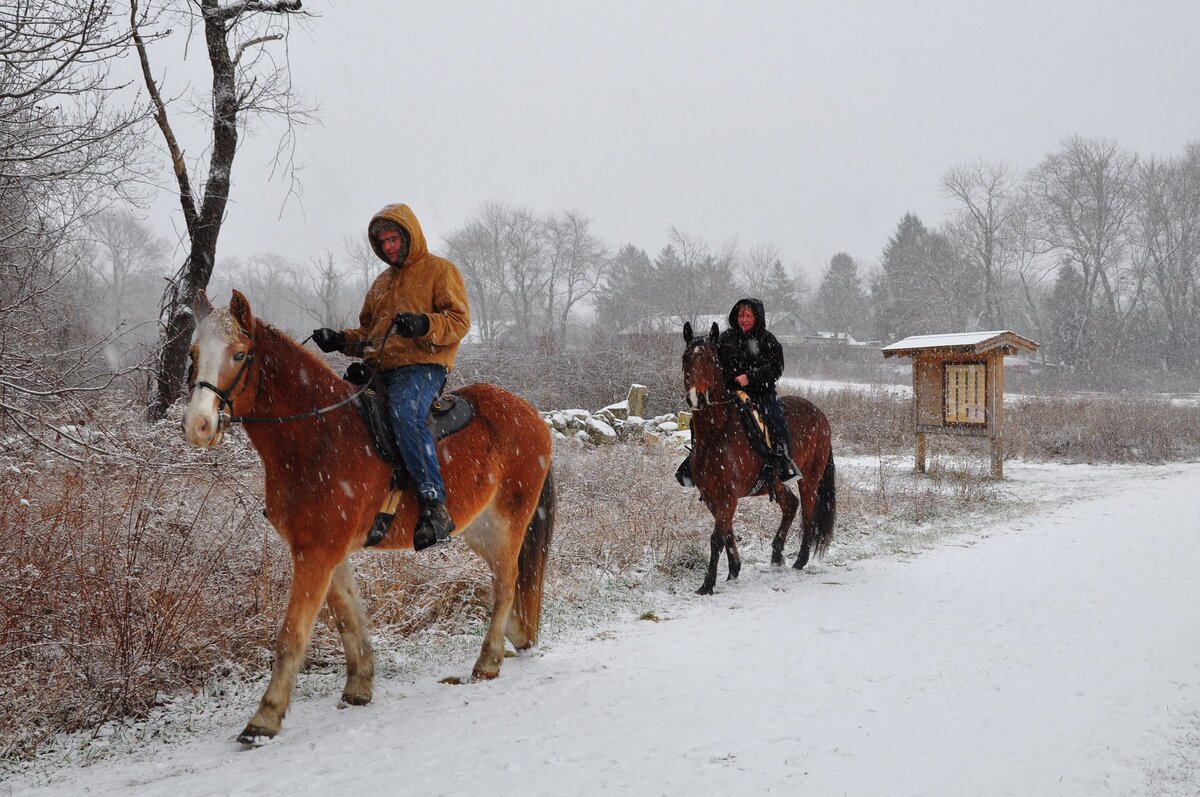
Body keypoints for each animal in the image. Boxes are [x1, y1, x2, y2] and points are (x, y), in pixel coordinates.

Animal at [182, 292, 556, 748]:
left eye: (239, 354)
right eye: (194, 354)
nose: (198, 425)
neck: (317, 434)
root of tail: (530, 413)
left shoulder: (316, 553)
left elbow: (291, 636)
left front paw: (265, 717)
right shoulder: (326, 551)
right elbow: (348, 617)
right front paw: (359, 685)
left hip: (509, 519)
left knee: (506, 582)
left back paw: (488, 660)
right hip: (479, 528)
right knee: (513, 576)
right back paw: (516, 635)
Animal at [681, 321, 840, 595]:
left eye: (712, 360)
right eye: (685, 359)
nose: (696, 397)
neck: (717, 433)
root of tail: (819, 414)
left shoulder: (728, 496)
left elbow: (716, 538)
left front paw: (707, 584)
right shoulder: (712, 496)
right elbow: (727, 533)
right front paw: (734, 570)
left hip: (810, 478)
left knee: (807, 514)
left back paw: (800, 560)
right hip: (775, 482)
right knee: (790, 506)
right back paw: (777, 556)